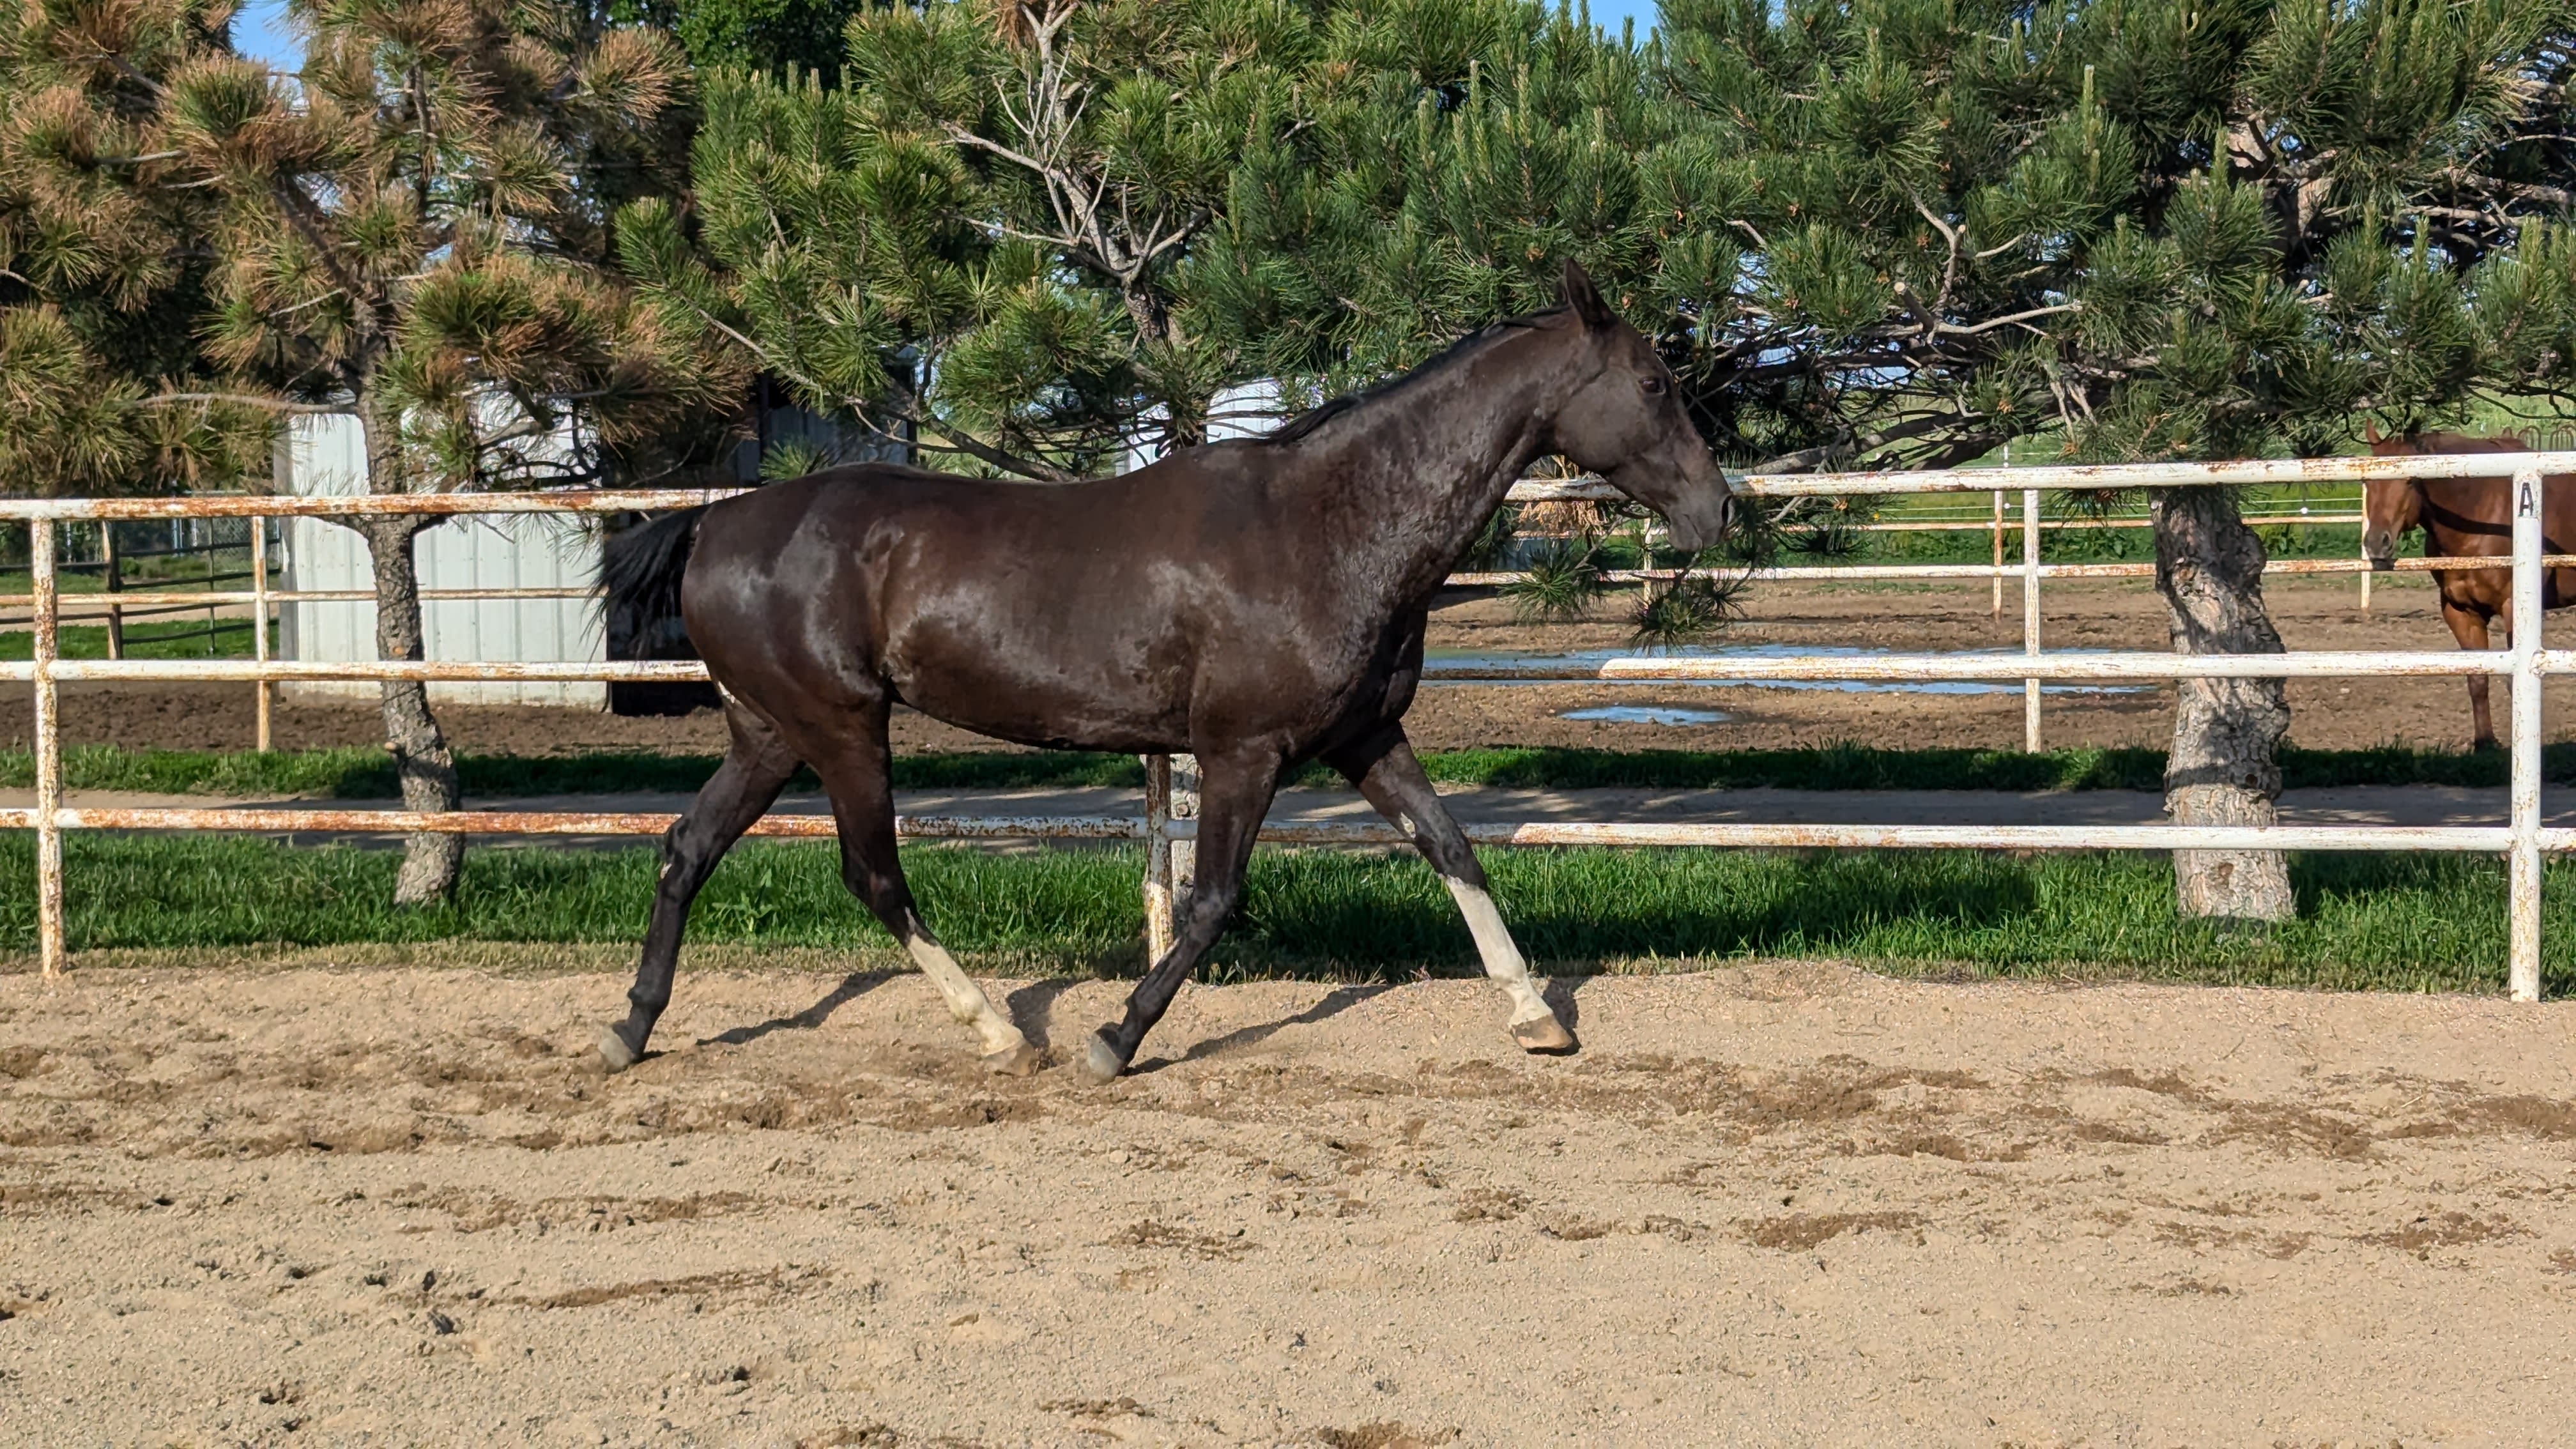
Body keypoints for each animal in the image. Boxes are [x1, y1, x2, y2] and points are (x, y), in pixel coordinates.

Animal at [596, 261, 1733, 1083]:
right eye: (1653, 382)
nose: (1718, 509)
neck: (1329, 524)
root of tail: (716, 522)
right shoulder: (1244, 750)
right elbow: (1213, 901)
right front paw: (1115, 1041)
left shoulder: (1365, 737)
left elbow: (1453, 849)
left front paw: (1537, 1014)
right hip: (840, 729)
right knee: (872, 875)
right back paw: (999, 1032)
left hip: (769, 734)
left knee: (685, 848)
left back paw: (631, 1030)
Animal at [2362, 428, 2576, 748]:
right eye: (2365, 481)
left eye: (2411, 480)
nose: (2377, 543)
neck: (2482, 512)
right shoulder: (2461, 611)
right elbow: (2477, 678)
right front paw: (2485, 742)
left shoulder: (2513, 609)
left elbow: (2512, 680)